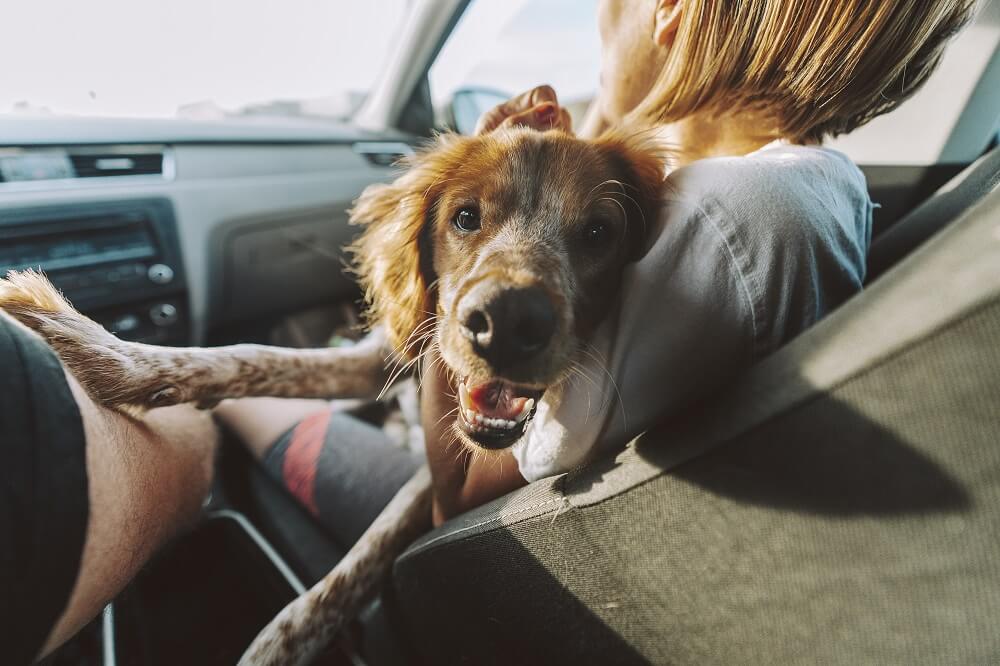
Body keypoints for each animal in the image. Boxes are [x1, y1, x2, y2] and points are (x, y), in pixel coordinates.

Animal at [0, 126, 664, 664]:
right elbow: (249, 357)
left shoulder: (433, 471)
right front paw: (96, 350)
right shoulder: (380, 359)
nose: (506, 320)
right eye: (466, 217)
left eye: (599, 232)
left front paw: (273, 647)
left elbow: (357, 563)